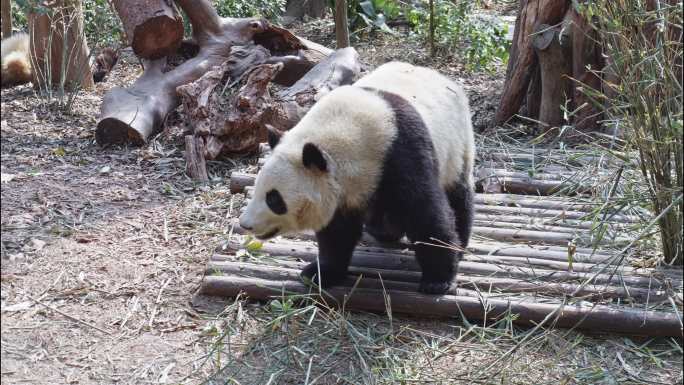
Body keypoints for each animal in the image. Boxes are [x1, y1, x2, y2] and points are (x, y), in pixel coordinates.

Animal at [240, 61, 476, 292]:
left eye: (274, 199)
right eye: (257, 189)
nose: (245, 224)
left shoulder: (401, 152)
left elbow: (425, 212)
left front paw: (438, 280)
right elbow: (336, 233)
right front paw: (321, 273)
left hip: (457, 144)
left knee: (457, 194)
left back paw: (459, 243)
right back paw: (383, 231)